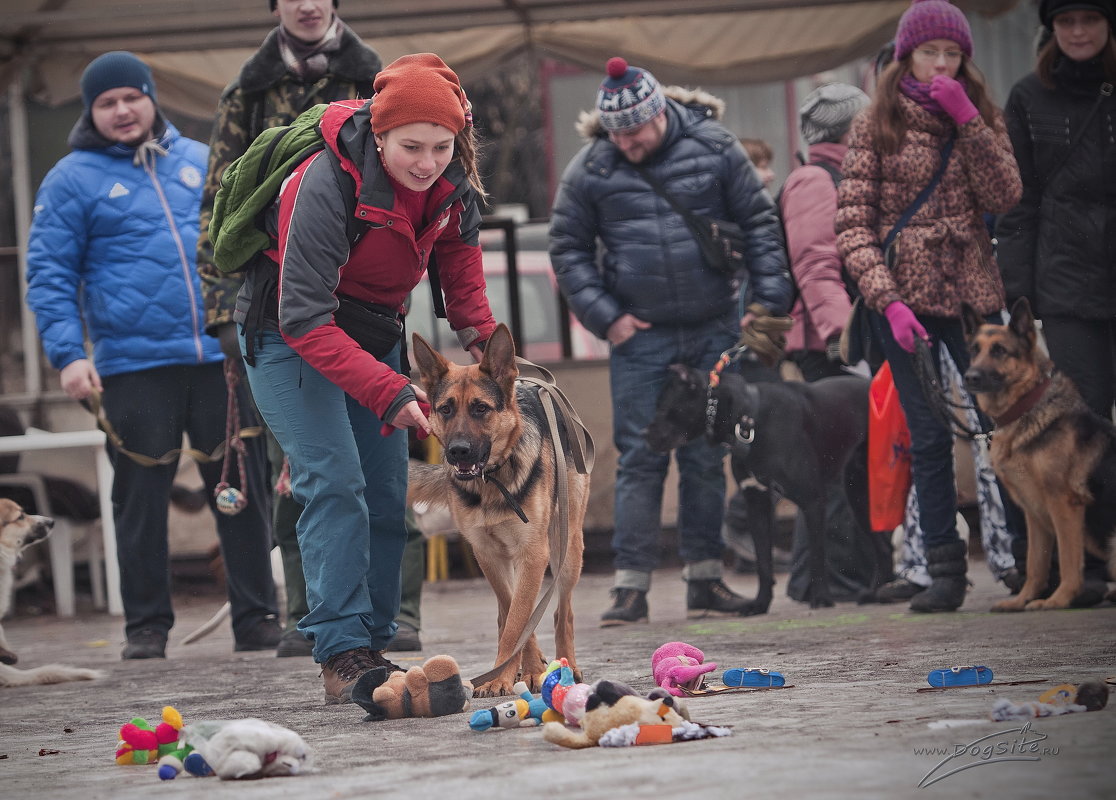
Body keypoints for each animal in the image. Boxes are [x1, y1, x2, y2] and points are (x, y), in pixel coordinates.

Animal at [647, 361, 879, 611]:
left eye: (662, 406)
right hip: (860, 496)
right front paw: (760, 603)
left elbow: (817, 555)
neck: (748, 418)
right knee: (882, 547)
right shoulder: (756, 503)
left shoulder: (812, 500)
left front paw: (821, 599)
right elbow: (763, 561)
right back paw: (877, 594)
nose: (644, 434)